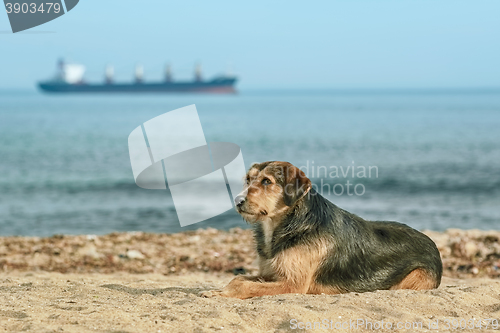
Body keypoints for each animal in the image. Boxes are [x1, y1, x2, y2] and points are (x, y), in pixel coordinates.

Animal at [199, 160, 442, 296]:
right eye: (248, 180)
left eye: (267, 182)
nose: (238, 201)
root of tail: (433, 245)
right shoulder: (270, 274)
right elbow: (238, 279)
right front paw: (218, 290)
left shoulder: (293, 285)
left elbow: (244, 286)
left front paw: (220, 293)